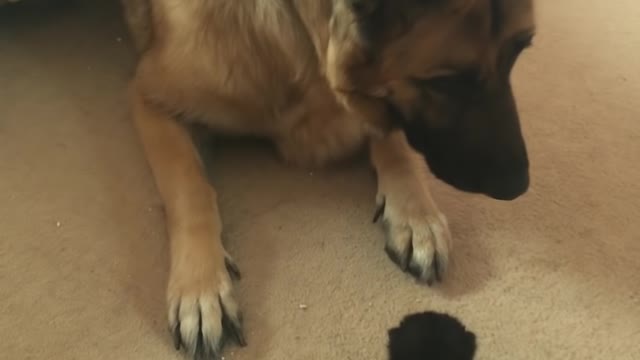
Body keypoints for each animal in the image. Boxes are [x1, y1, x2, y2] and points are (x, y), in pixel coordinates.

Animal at [119, 0, 536, 358]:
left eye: (520, 50)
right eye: (447, 83)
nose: (518, 187)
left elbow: (392, 140)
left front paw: (417, 216)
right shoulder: (151, 100)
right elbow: (190, 187)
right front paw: (201, 287)